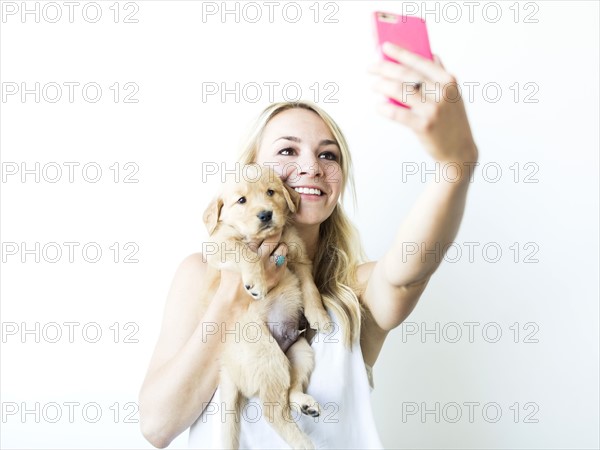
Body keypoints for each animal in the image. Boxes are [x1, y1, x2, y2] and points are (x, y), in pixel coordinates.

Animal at [202, 165, 332, 450]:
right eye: (241, 200)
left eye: (271, 192)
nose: (265, 214)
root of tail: (227, 368)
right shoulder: (220, 246)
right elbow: (245, 251)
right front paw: (257, 282)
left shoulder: (299, 258)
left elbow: (310, 289)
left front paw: (320, 316)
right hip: (265, 353)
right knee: (273, 410)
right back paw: (304, 443)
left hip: (300, 352)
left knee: (289, 391)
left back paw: (305, 404)